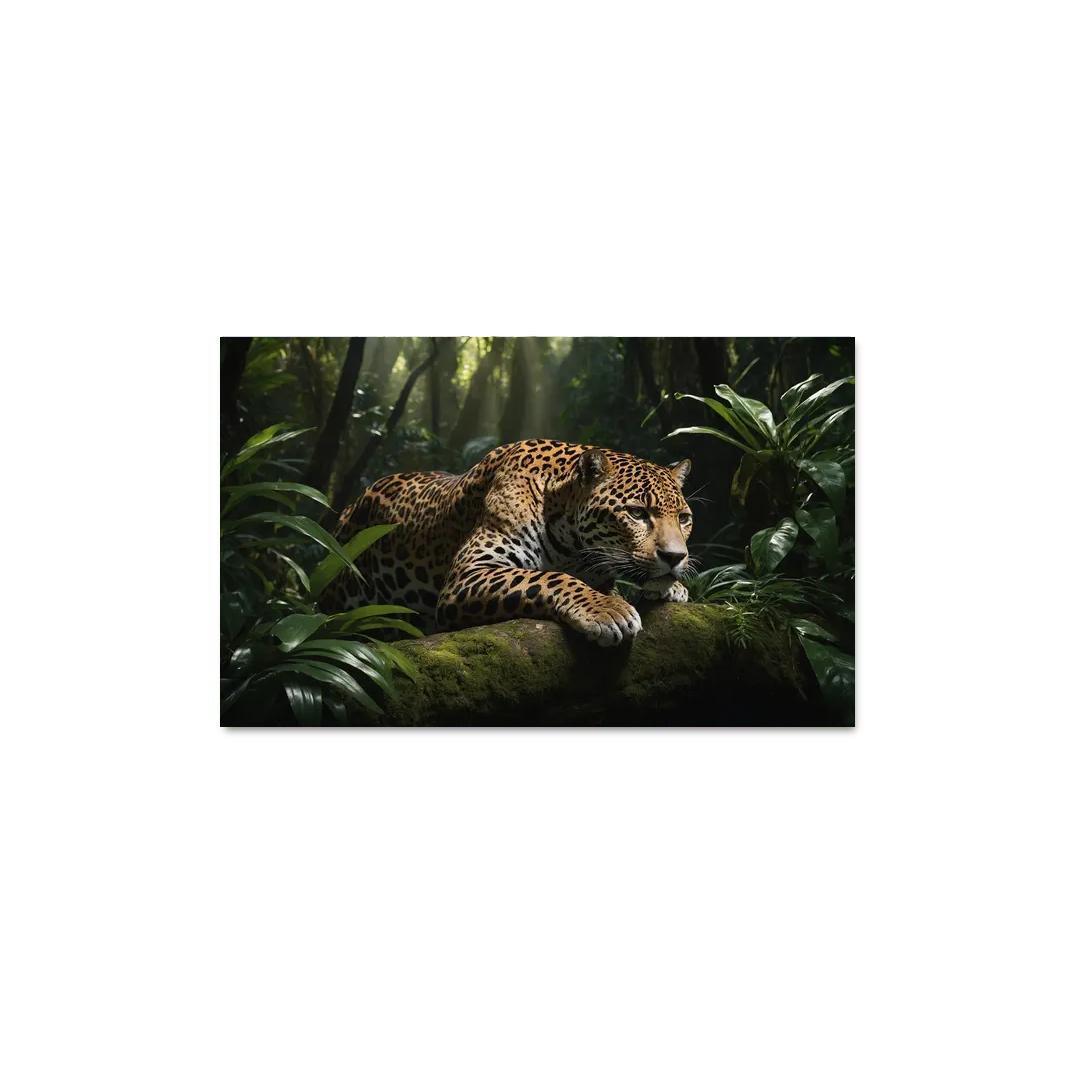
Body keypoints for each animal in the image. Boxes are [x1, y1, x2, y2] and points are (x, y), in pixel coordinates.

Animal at [321, 440, 695, 646]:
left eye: (684, 518)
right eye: (636, 513)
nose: (675, 557)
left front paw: (671, 588)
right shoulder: (470, 573)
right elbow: (550, 577)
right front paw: (607, 610)